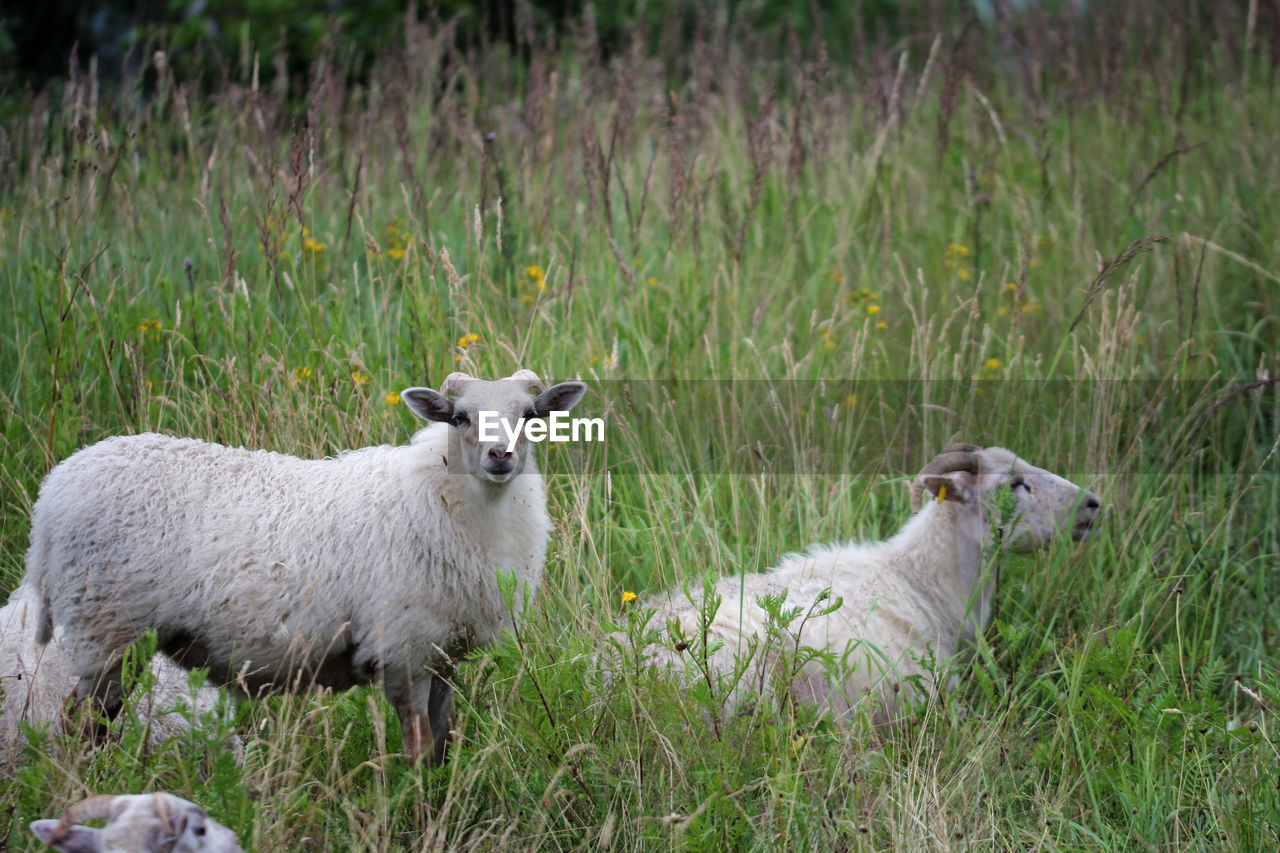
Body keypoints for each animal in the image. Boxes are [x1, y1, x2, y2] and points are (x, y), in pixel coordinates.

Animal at [24, 368, 586, 758]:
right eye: (461, 417)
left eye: (531, 415)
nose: (500, 457)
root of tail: (49, 497)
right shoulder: (402, 648)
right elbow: (419, 752)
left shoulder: (442, 653)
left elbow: (443, 746)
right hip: (108, 629)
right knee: (77, 728)